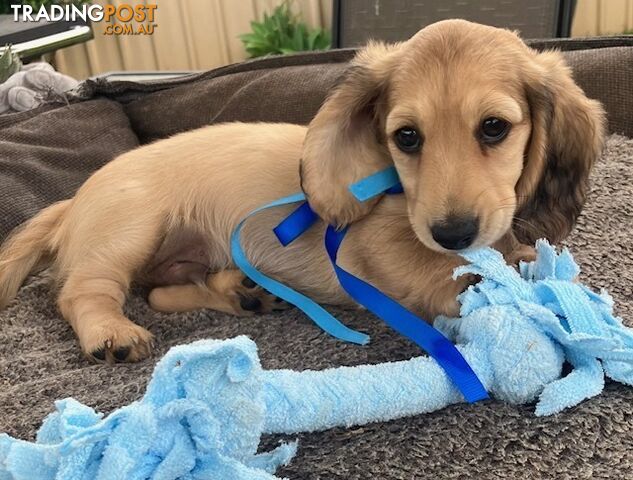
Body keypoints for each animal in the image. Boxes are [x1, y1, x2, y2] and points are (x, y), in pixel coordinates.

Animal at [0, 20, 604, 362]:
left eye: (494, 128)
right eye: (406, 137)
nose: (452, 233)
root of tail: (69, 203)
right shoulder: (385, 248)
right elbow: (442, 274)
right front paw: (492, 279)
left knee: (159, 293)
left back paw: (241, 291)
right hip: (129, 228)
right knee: (84, 292)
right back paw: (111, 332)